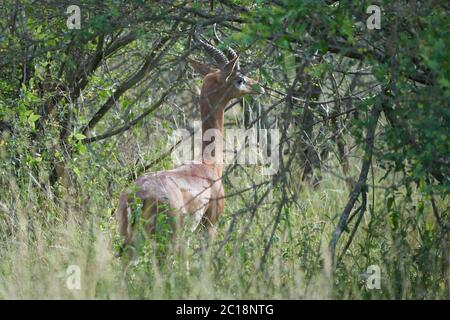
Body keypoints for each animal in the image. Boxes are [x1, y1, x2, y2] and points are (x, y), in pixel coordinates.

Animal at [116, 31, 264, 256]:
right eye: (239, 79)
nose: (259, 86)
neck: (207, 165)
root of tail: (137, 196)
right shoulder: (209, 225)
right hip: (167, 241)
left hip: (131, 240)